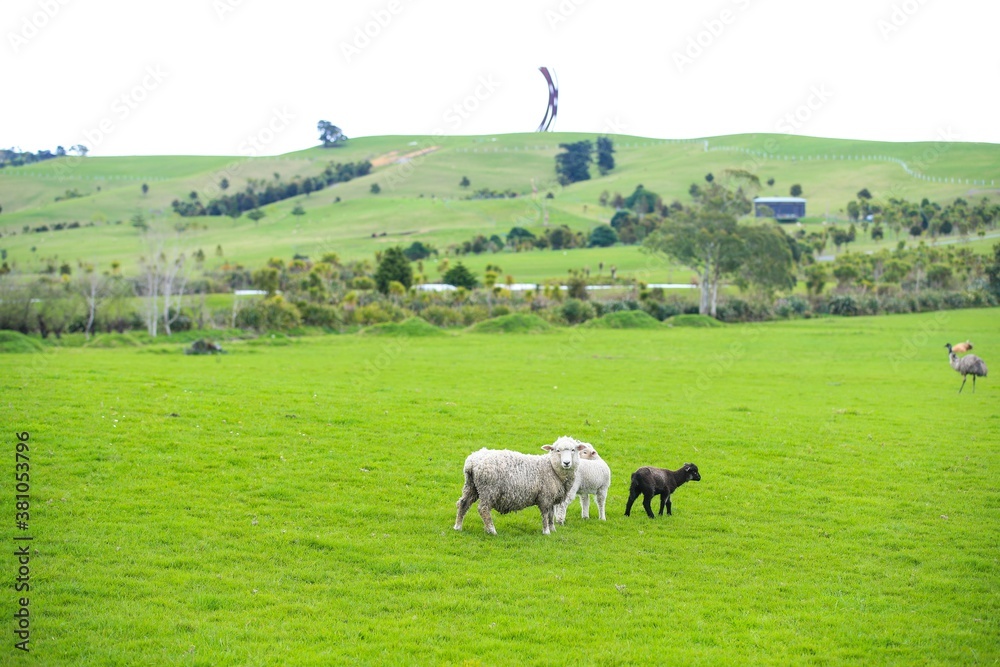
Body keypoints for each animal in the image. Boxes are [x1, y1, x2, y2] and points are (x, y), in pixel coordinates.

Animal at [454, 436, 587, 535]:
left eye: (573, 450)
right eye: (557, 450)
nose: (566, 463)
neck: (552, 468)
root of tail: (472, 462)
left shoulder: (552, 498)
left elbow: (550, 515)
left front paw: (553, 529)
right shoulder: (545, 496)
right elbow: (545, 515)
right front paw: (546, 532)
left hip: (471, 486)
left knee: (463, 503)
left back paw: (458, 527)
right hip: (489, 489)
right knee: (483, 509)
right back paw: (492, 530)